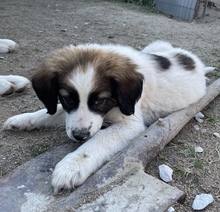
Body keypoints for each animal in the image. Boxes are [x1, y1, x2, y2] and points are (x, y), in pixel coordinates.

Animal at [3, 40, 210, 194]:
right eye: (67, 98)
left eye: (100, 101)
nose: (79, 136)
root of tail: (194, 61)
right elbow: (53, 112)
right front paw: (23, 120)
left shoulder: (131, 123)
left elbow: (100, 139)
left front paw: (72, 165)